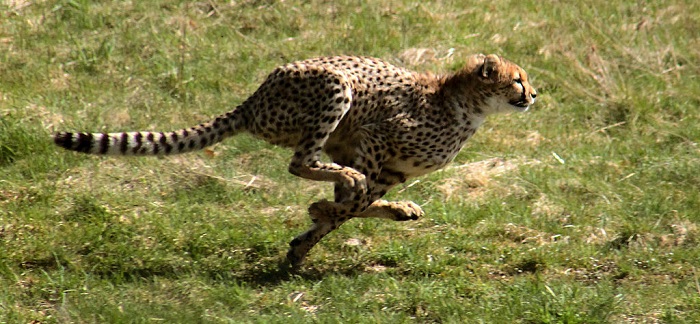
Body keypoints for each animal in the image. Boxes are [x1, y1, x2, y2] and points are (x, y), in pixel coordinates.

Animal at [53, 53, 536, 266]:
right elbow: (351, 199)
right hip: (335, 87)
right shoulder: (373, 138)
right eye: (517, 80)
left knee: (322, 169)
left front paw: (306, 240)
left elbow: (354, 205)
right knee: (300, 162)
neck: (465, 106)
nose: (534, 94)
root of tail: (253, 100)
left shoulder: (383, 164)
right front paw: (318, 213)